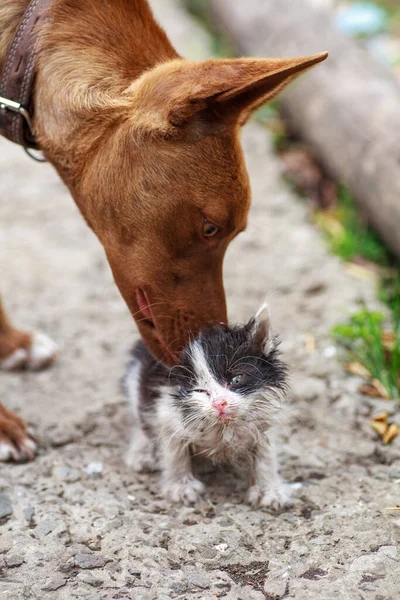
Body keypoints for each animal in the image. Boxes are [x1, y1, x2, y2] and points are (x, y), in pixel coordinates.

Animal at [122, 304, 290, 506]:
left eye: (236, 379)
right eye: (199, 390)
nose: (219, 404)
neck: (224, 426)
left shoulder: (263, 419)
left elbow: (266, 455)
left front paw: (269, 490)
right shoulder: (166, 410)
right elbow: (174, 452)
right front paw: (181, 487)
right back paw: (141, 452)